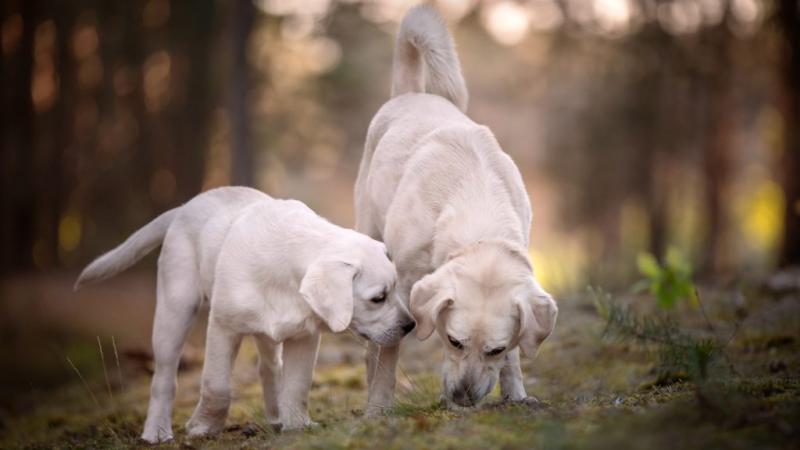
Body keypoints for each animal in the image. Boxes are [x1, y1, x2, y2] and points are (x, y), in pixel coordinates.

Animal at [75, 186, 416, 442]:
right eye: (378, 298)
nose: (410, 325)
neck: (286, 274)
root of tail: (186, 206)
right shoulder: (222, 327)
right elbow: (217, 385)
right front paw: (203, 426)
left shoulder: (304, 336)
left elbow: (297, 384)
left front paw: (297, 425)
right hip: (175, 307)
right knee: (164, 376)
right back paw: (157, 431)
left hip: (268, 331)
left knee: (269, 369)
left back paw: (277, 416)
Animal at [356, 5, 556, 414]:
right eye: (453, 340)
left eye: (495, 349)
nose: (463, 399)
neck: (475, 203)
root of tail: (412, 93)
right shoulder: (402, 290)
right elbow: (389, 351)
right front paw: (379, 408)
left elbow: (515, 358)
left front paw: (516, 395)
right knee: (374, 343)